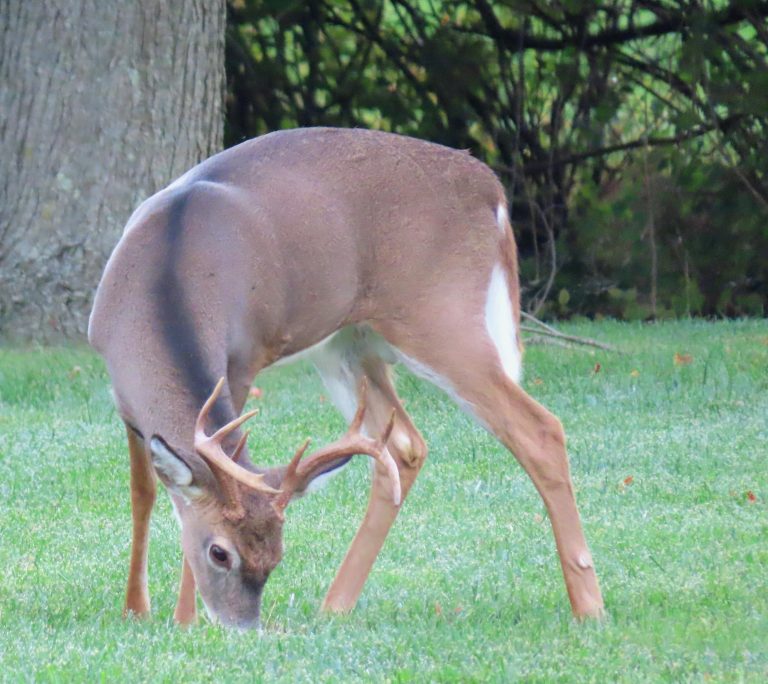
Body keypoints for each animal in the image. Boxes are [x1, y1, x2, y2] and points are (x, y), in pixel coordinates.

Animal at [88, 125, 608, 628]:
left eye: (276, 559)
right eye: (220, 553)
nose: (244, 628)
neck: (163, 281)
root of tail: (492, 189)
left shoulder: (242, 359)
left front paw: (183, 621)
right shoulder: (122, 395)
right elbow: (144, 493)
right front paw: (136, 609)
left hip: (439, 318)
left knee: (538, 428)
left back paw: (590, 606)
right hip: (349, 343)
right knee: (403, 446)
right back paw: (334, 606)